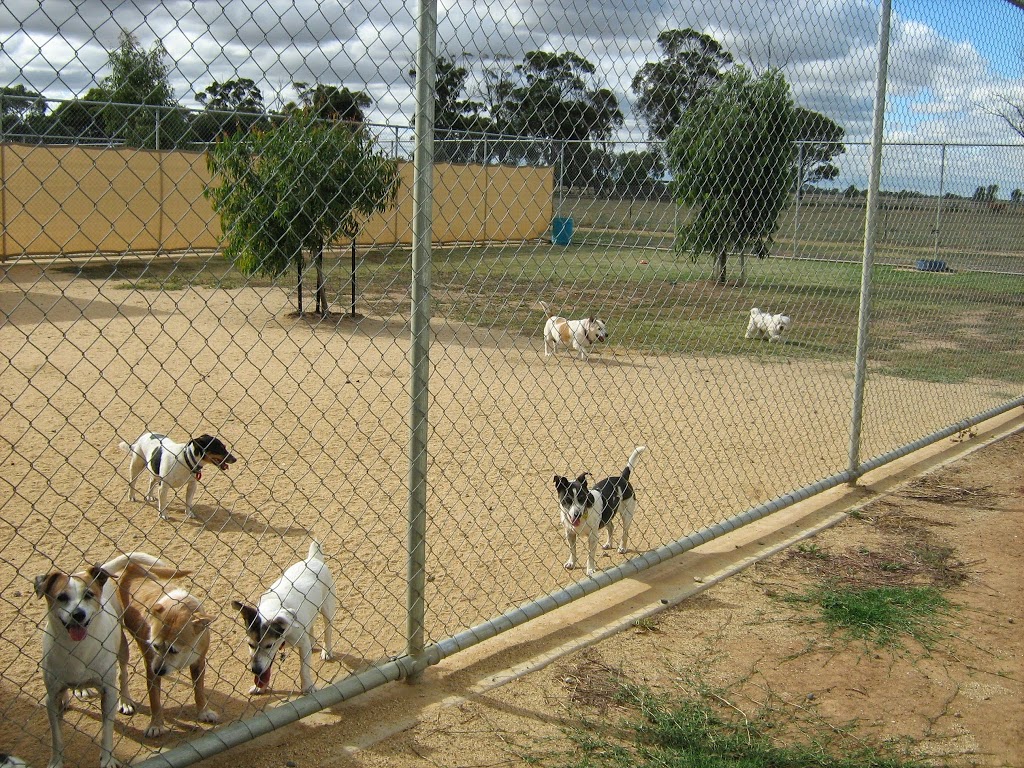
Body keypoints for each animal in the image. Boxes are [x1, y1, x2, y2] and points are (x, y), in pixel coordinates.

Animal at [108, 561, 218, 741]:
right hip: (120, 642)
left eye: (174, 650)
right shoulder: (151, 670)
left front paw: (204, 712)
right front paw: (156, 726)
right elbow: (155, 701)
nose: (158, 670)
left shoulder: (198, 662)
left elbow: (199, 690)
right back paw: (124, 701)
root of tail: (131, 565)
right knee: (121, 672)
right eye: (155, 646)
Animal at [552, 444, 647, 577]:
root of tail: (622, 478)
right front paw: (571, 563)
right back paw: (609, 544)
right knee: (611, 527)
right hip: (608, 516)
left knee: (625, 532)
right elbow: (572, 551)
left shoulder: (593, 536)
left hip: (627, 514)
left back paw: (622, 548)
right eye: (567, 500)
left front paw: (590, 569)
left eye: (582, 498)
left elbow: (590, 555)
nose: (577, 514)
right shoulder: (570, 534)